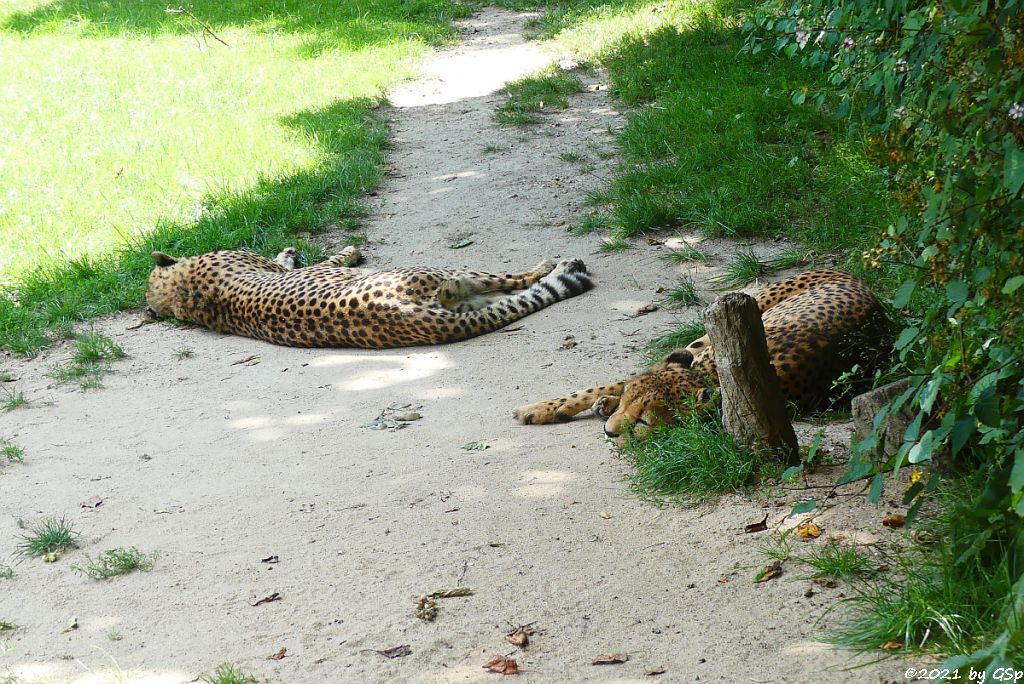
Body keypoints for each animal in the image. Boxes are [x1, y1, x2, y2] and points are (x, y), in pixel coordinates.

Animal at [516, 270, 892, 440]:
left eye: (644, 423)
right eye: (629, 405)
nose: (610, 433)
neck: (712, 378)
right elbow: (604, 384)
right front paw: (541, 408)